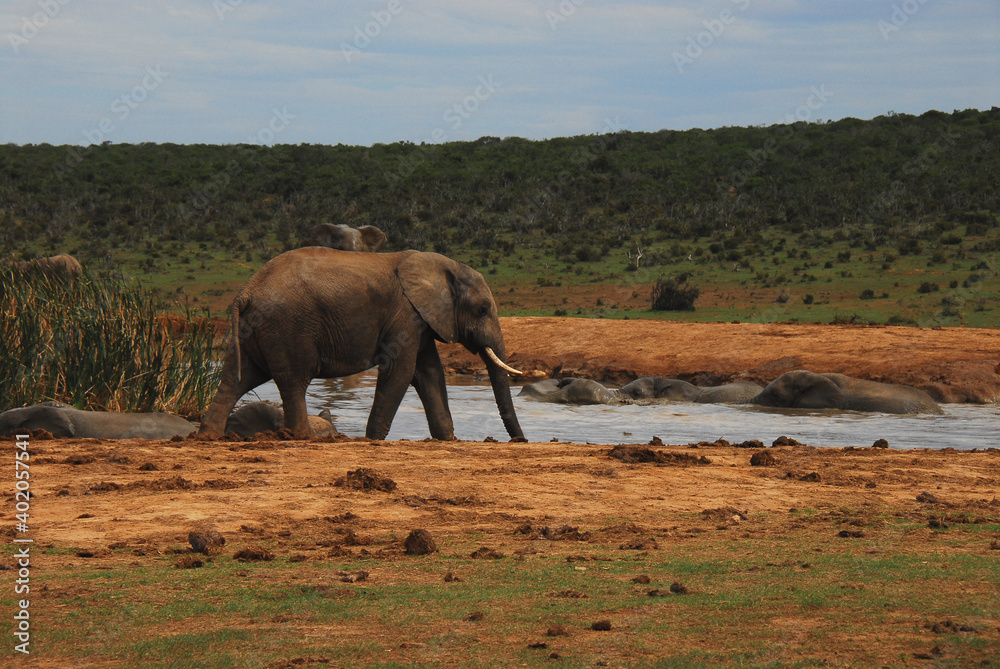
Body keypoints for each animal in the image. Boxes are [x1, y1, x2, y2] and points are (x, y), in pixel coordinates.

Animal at [199, 247, 525, 441]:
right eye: (482, 309)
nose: (520, 440)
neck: (442, 265)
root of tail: (246, 290)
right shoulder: (406, 314)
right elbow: (400, 371)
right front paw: (373, 440)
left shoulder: (419, 320)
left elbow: (430, 373)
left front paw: (447, 440)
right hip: (287, 328)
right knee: (293, 381)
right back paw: (306, 438)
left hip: (252, 329)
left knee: (237, 379)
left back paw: (208, 436)